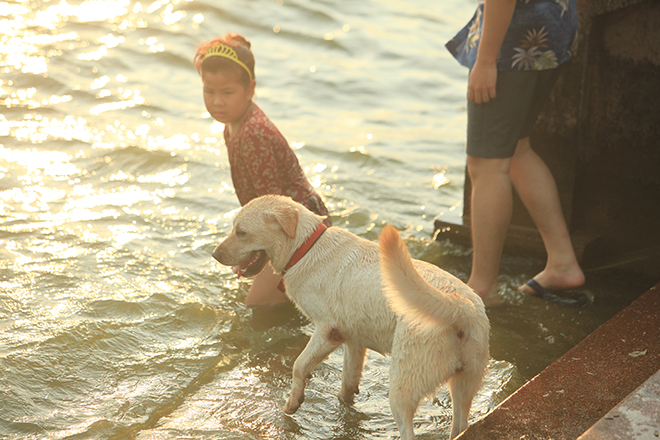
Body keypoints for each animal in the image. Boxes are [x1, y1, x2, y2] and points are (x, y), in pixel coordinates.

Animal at [213, 196, 490, 440]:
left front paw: (294, 402)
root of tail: (458, 305)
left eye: (241, 232)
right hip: (465, 384)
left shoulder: (327, 331)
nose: (214, 254)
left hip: (403, 385)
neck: (304, 248)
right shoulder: (353, 341)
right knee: (461, 425)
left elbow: (299, 365)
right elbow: (348, 382)